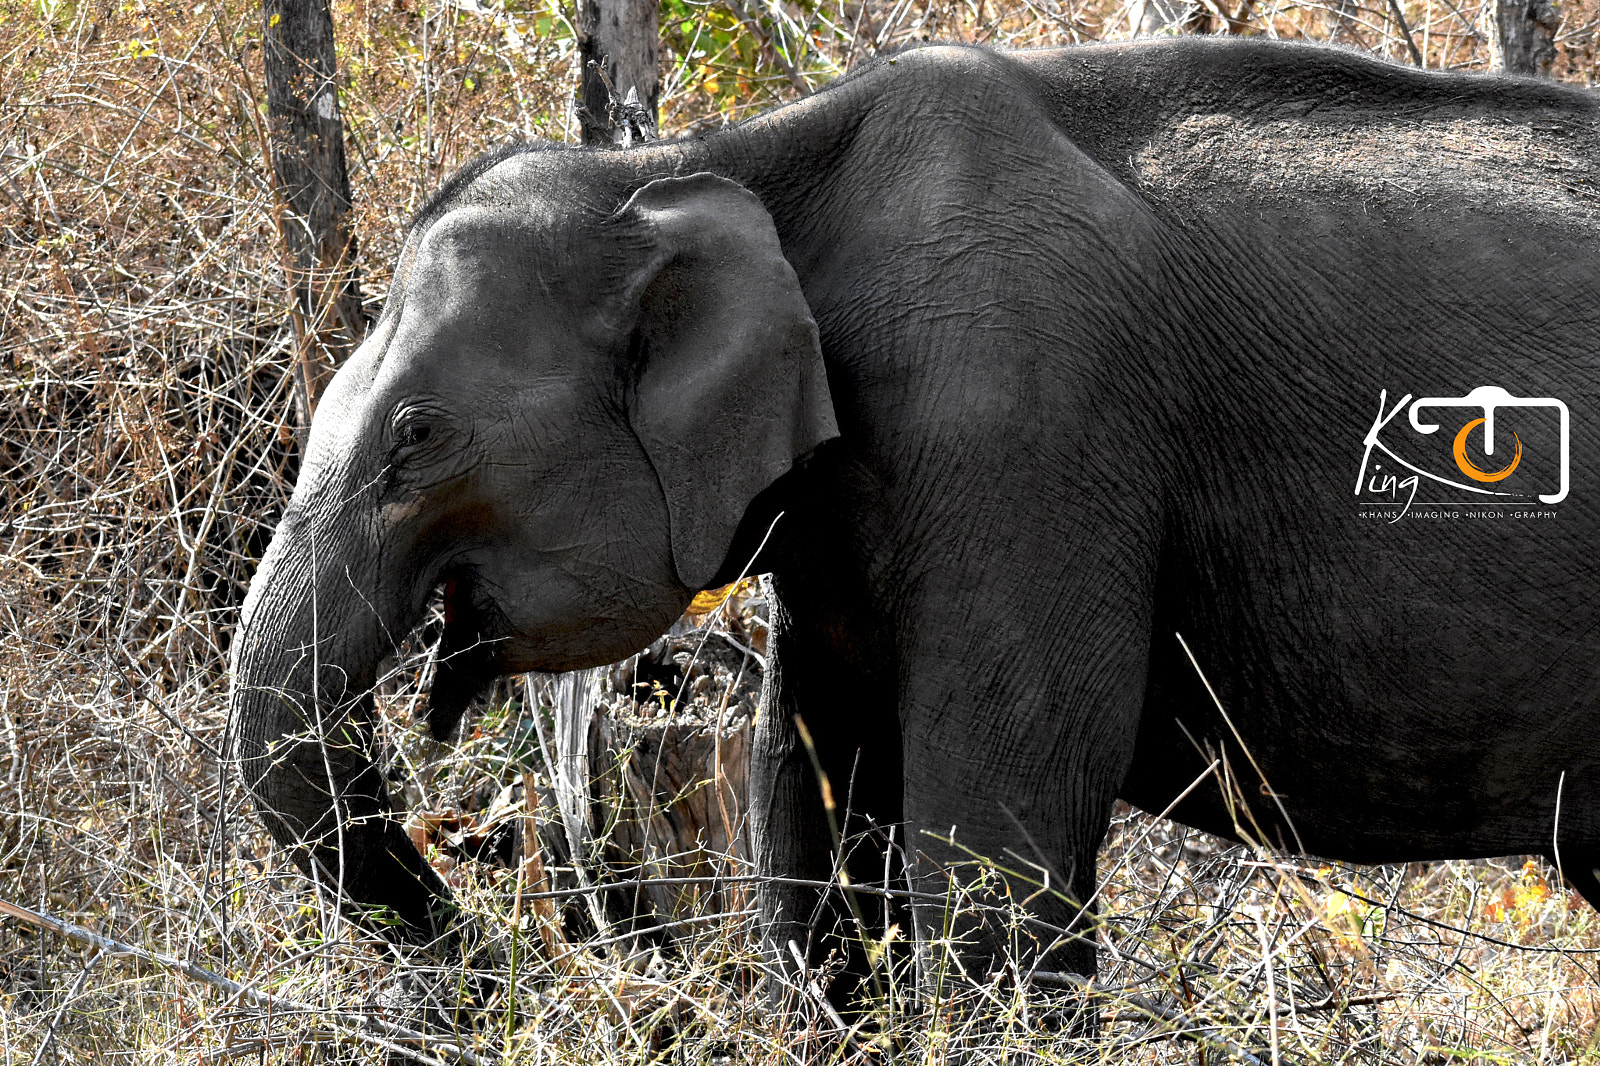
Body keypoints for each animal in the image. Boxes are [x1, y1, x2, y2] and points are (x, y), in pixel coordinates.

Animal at [228, 35, 1600, 995]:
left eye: (418, 437)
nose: (494, 962)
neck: (731, 162)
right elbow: (812, 818)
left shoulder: (1028, 430)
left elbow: (999, 837)